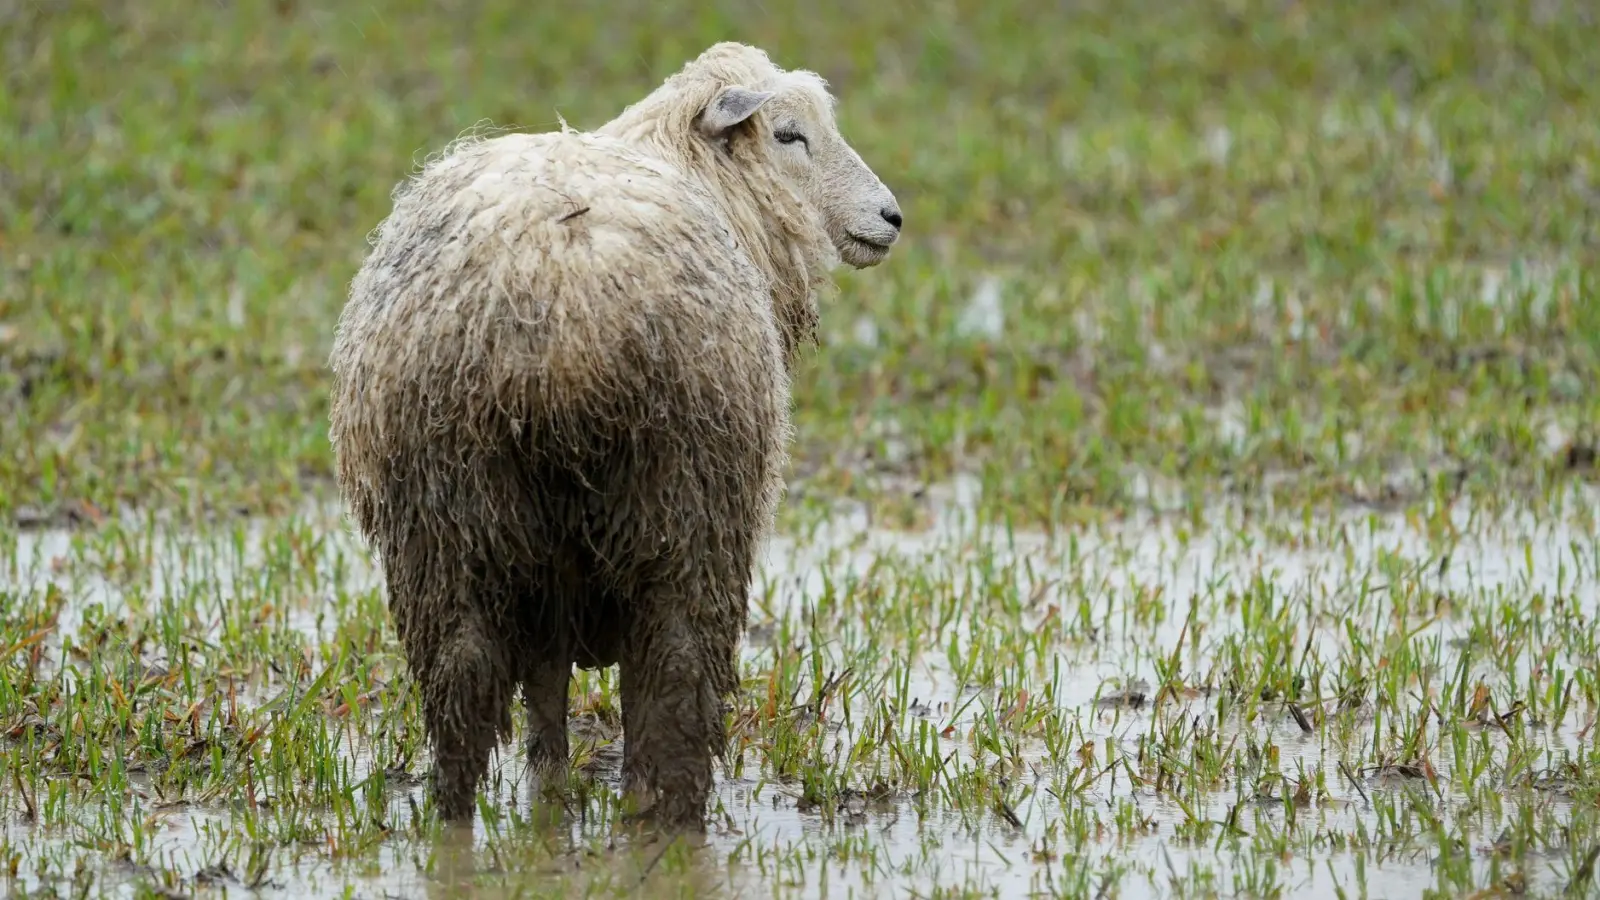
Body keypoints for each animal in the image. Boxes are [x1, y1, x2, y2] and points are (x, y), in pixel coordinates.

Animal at [324, 42, 902, 826]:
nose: (891, 216)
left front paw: (549, 796)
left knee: (462, 677)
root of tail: (561, 309)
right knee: (677, 672)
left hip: (444, 511)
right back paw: (668, 816)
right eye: (789, 135)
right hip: (690, 492)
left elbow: (544, 696)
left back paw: (455, 817)